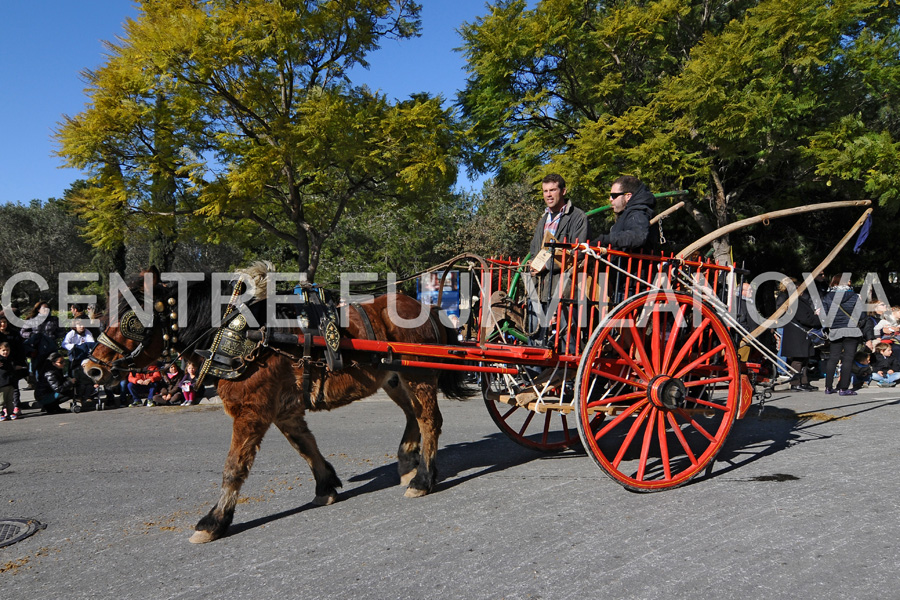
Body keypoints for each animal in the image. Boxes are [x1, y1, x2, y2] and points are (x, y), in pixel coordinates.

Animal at [85, 264, 474, 544]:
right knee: (413, 415)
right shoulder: (283, 410)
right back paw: (408, 461)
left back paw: (423, 478)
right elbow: (305, 447)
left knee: (429, 420)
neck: (245, 333)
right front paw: (326, 486)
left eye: (131, 319)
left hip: (419, 375)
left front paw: (214, 521)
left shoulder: (251, 413)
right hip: (395, 378)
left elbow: (233, 467)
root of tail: (426, 306)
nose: (92, 368)